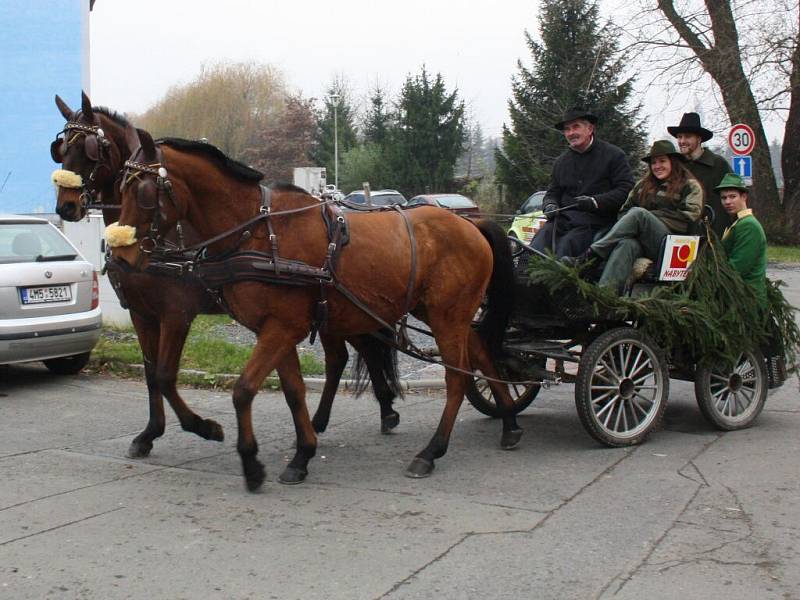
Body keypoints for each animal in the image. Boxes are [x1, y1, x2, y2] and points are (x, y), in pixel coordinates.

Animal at [50, 92, 400, 460]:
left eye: (89, 148)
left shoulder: (176, 313)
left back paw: (366, 413)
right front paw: (149, 433)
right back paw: (367, 412)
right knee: (350, 354)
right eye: (61, 148)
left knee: (349, 354)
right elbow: (150, 374)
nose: (66, 206)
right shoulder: (141, 314)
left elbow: (165, 375)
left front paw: (204, 427)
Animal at [109, 126, 520, 492]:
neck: (257, 232)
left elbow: (242, 389)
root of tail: (471, 223)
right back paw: (510, 422)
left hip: (445, 316)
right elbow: (292, 391)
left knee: (456, 378)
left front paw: (249, 461)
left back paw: (432, 450)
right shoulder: (276, 329)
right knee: (480, 354)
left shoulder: (275, 327)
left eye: (143, 191)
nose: (121, 255)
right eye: (120, 187)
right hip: (441, 313)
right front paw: (303, 454)